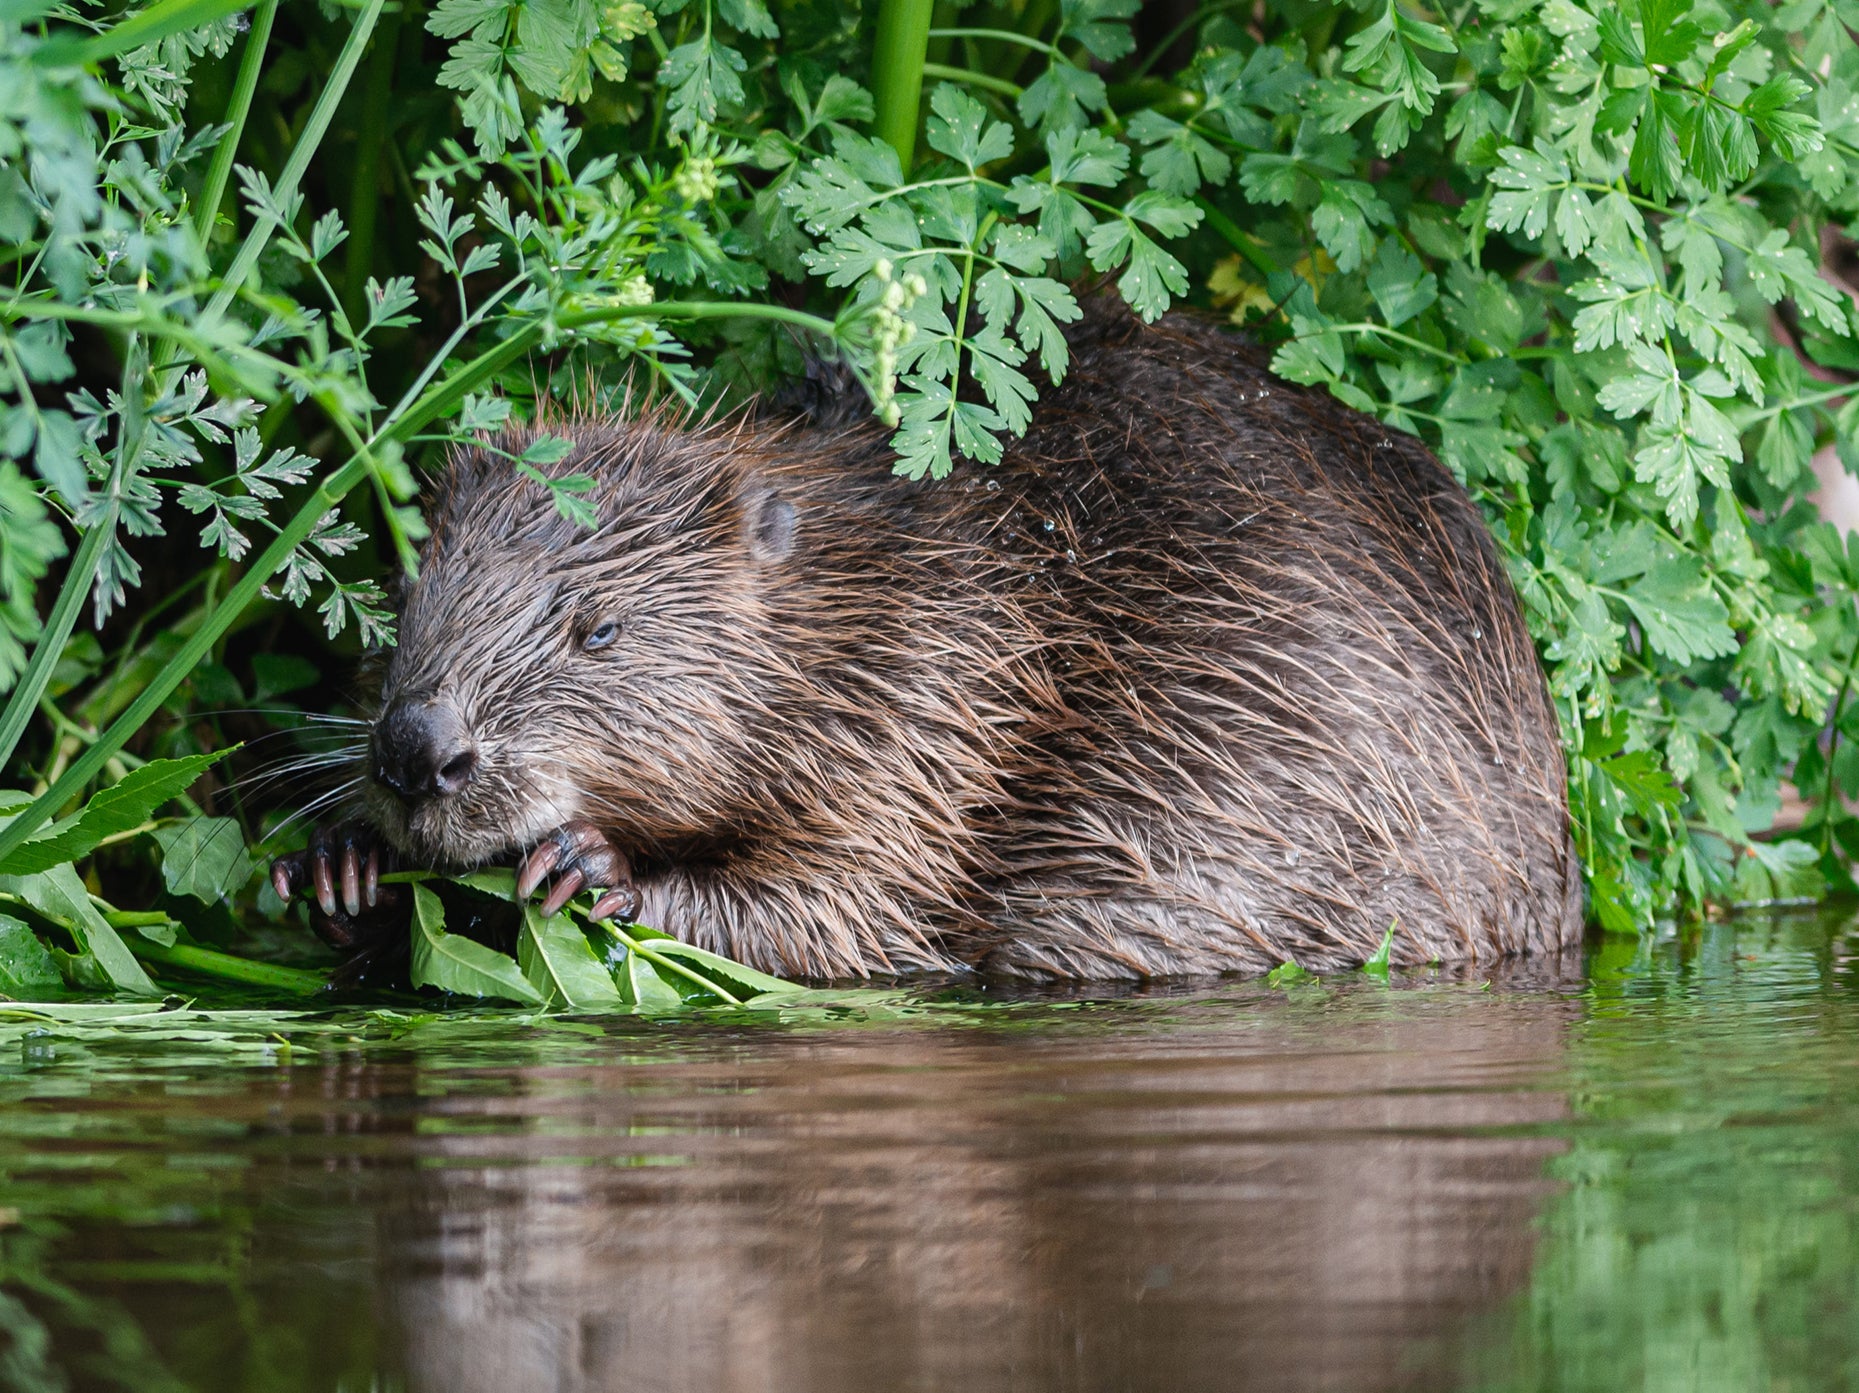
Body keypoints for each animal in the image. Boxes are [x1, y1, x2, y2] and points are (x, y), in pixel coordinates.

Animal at [271, 305, 1583, 974]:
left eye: (600, 627)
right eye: (409, 589)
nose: (417, 749)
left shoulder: (929, 702)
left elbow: (860, 907)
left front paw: (592, 867)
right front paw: (332, 864)